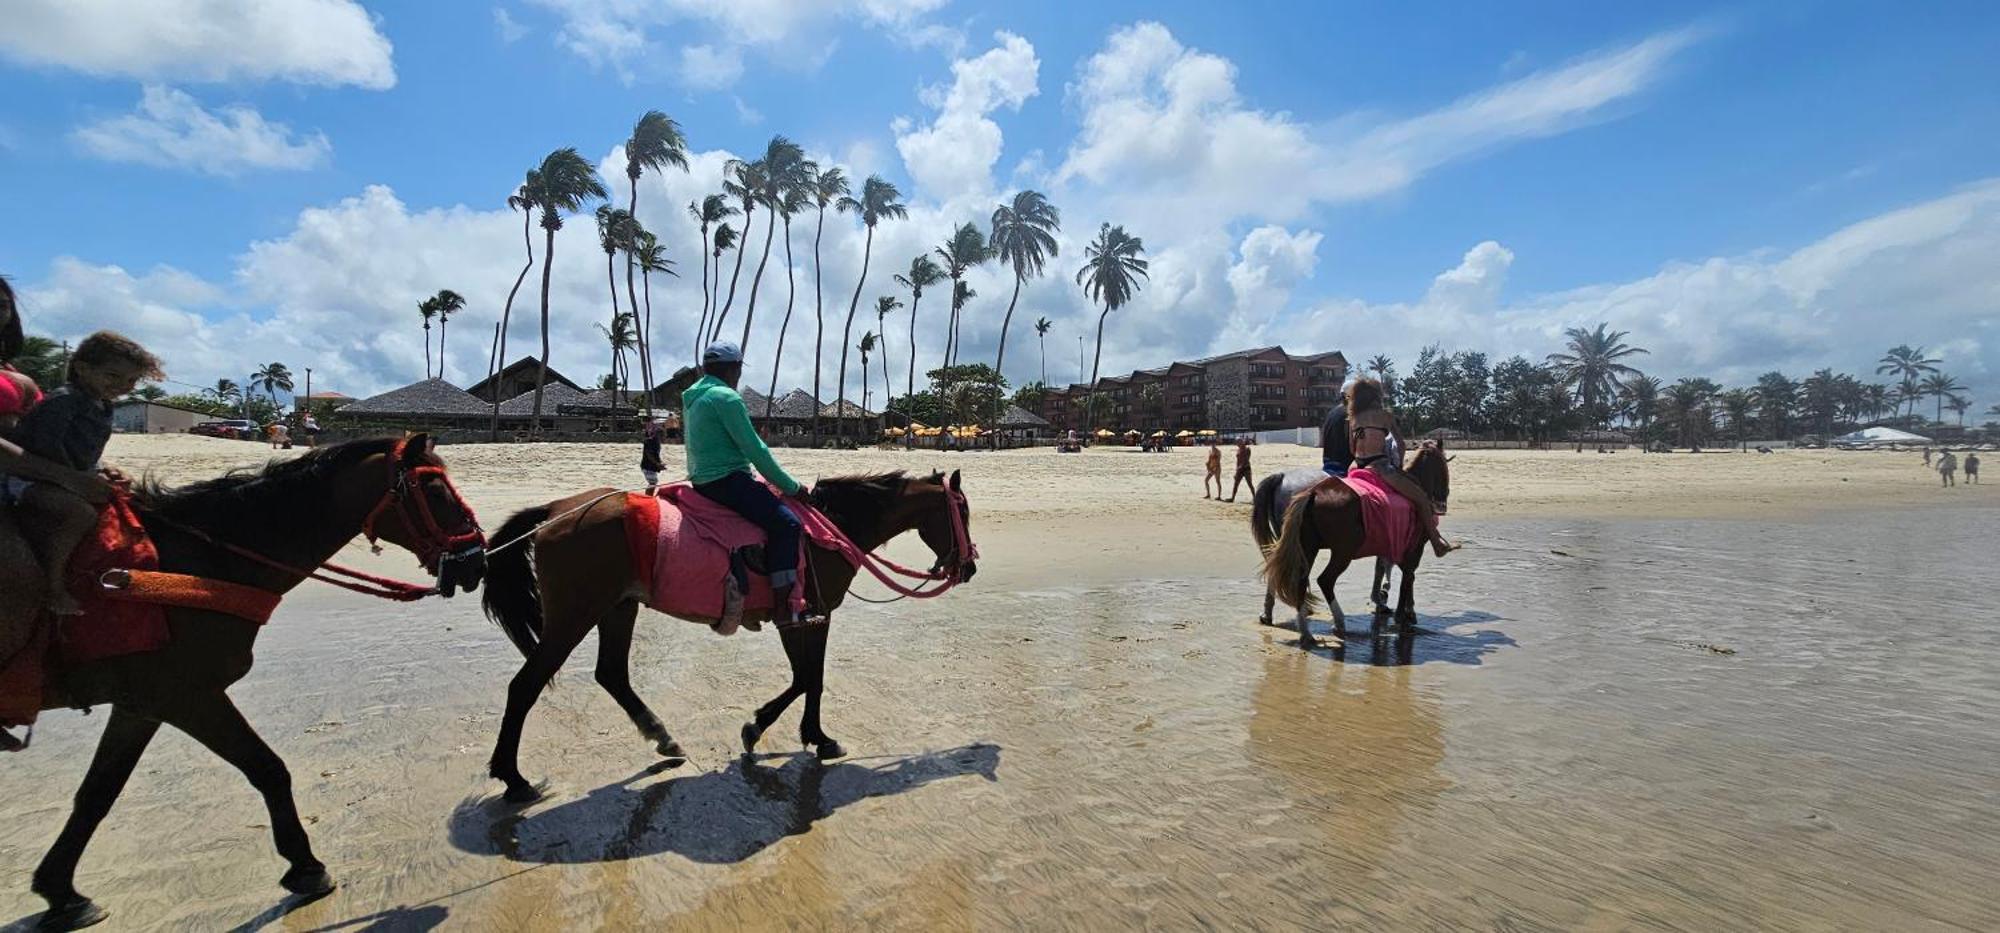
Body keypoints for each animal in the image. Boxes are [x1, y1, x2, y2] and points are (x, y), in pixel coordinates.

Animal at [9, 436, 486, 933]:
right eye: (434, 490)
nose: (477, 559)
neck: (202, 565)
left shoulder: (143, 704)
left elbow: (96, 794)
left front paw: (61, 892)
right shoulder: (188, 696)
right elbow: (268, 769)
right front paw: (307, 866)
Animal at [476, 470, 976, 804]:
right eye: (964, 513)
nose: (970, 566)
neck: (828, 528)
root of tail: (553, 513)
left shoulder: (805, 618)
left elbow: (808, 679)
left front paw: (804, 734)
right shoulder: (805, 616)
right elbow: (807, 678)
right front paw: (782, 731)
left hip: (618, 608)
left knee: (611, 674)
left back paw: (663, 738)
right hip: (574, 616)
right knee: (524, 687)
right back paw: (513, 779)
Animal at [1248, 470, 1392, 636]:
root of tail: (1282, 476)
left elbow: (1382, 566)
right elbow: (1383, 567)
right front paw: (1381, 598)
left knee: (1277, 571)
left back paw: (1270, 613)